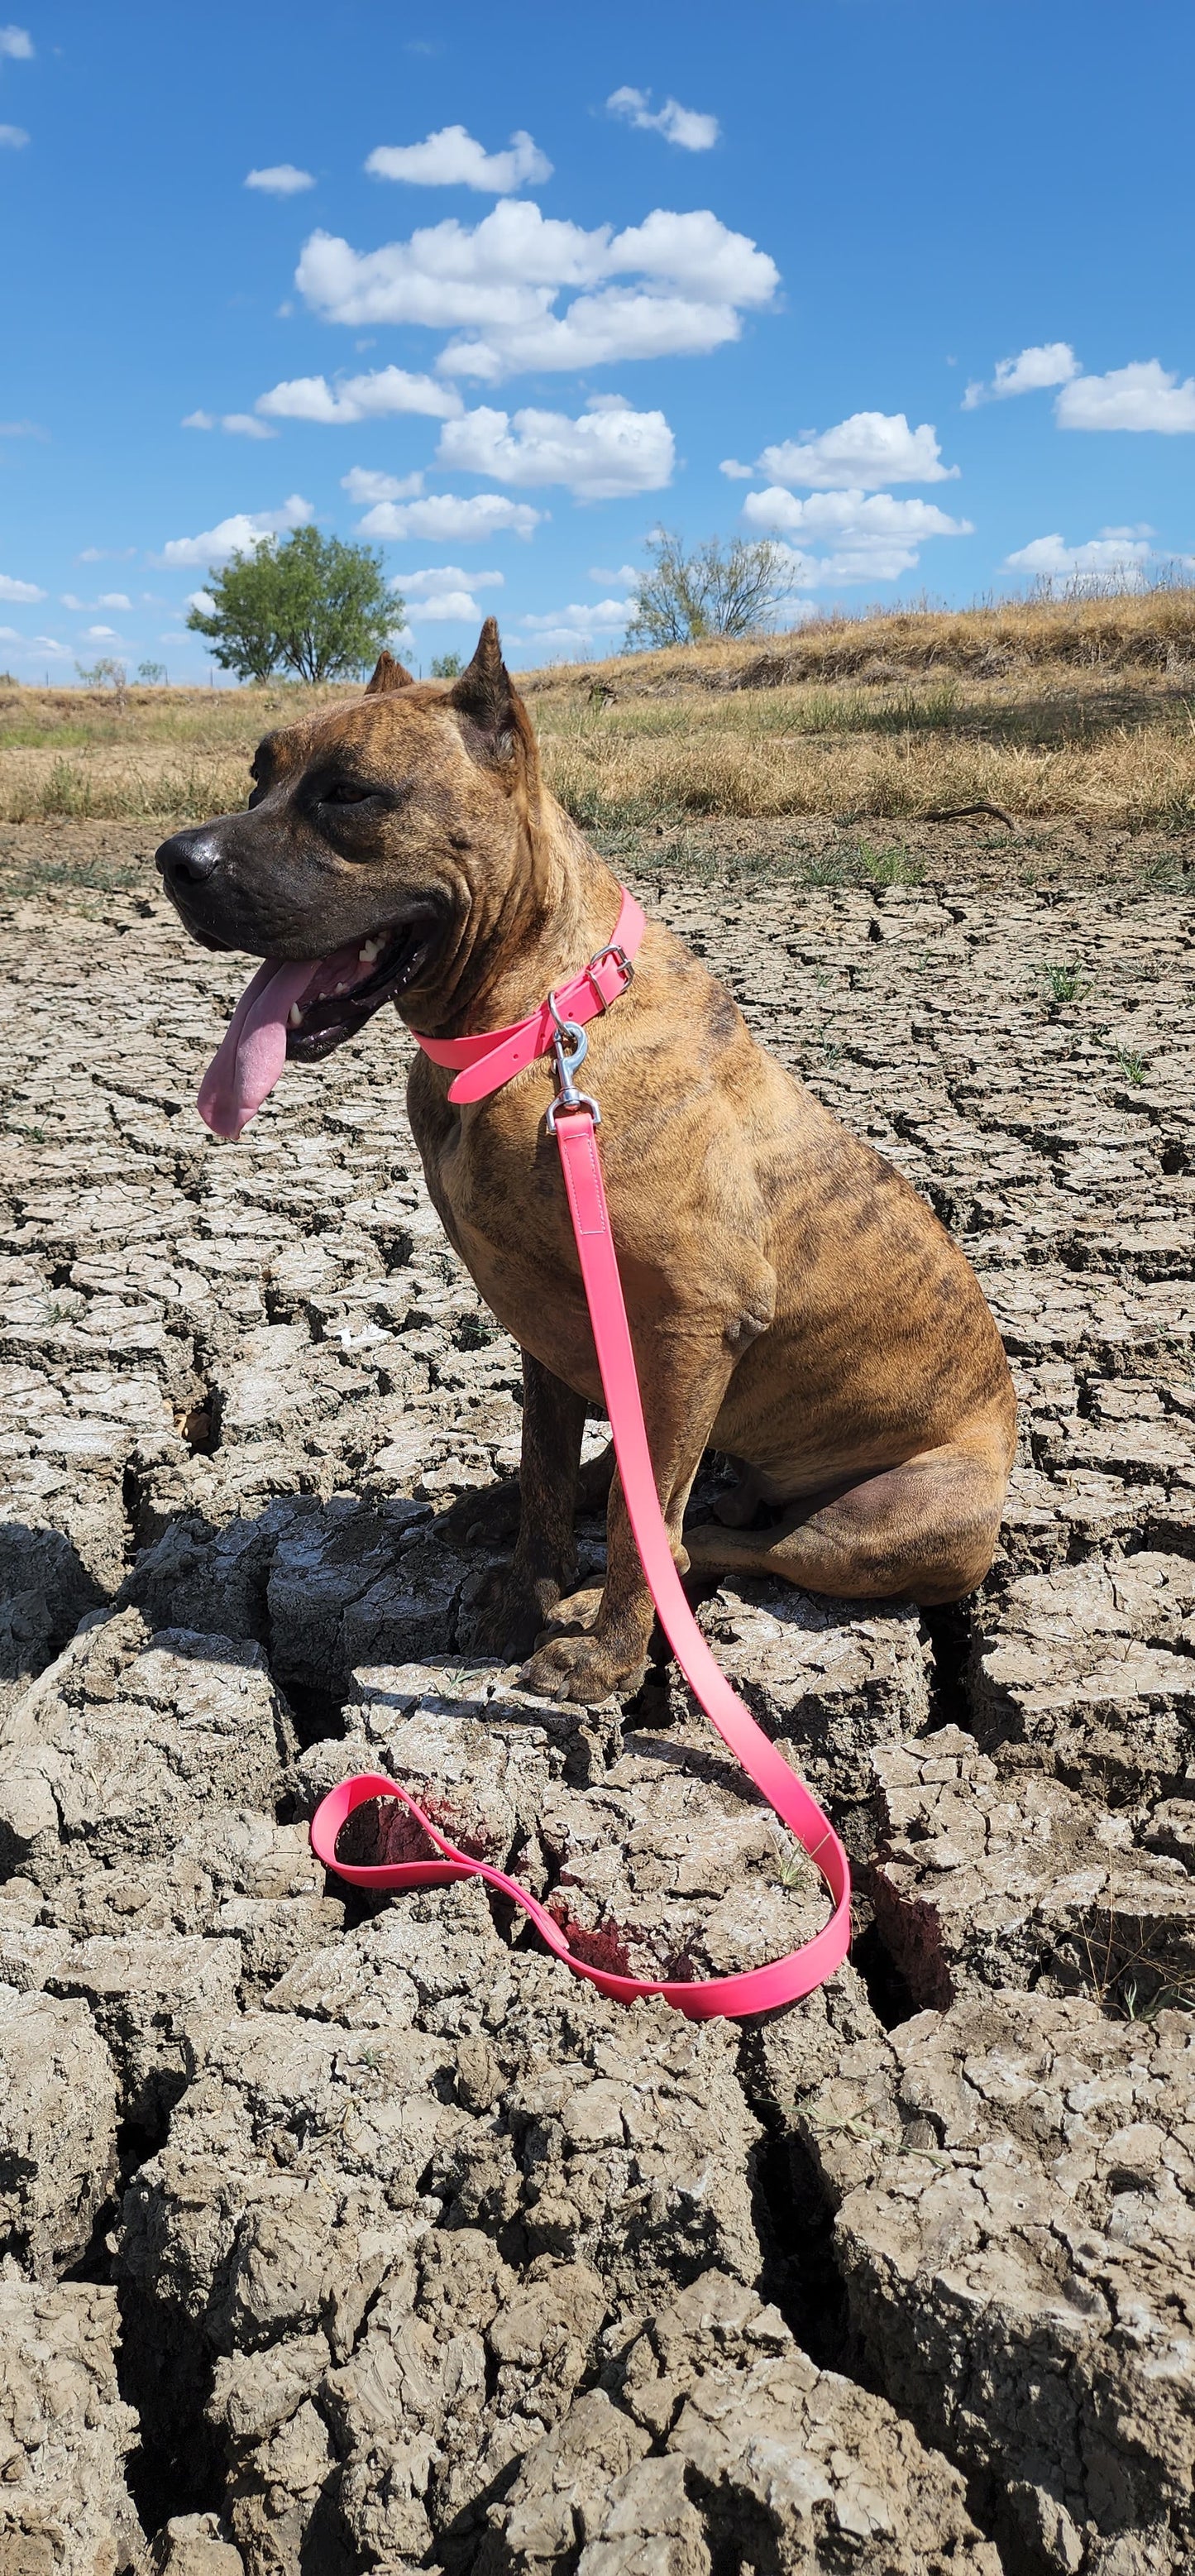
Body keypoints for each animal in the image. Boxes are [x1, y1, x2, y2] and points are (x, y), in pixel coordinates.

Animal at [158, 623, 1020, 1710]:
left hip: (884, 1525)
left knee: (723, 1539)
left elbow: (632, 1527)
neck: (537, 1020)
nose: (172, 860)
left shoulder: (693, 1322)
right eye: (259, 774)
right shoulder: (546, 1319)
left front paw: (601, 1654)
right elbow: (544, 1466)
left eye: (349, 792)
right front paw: (518, 1579)